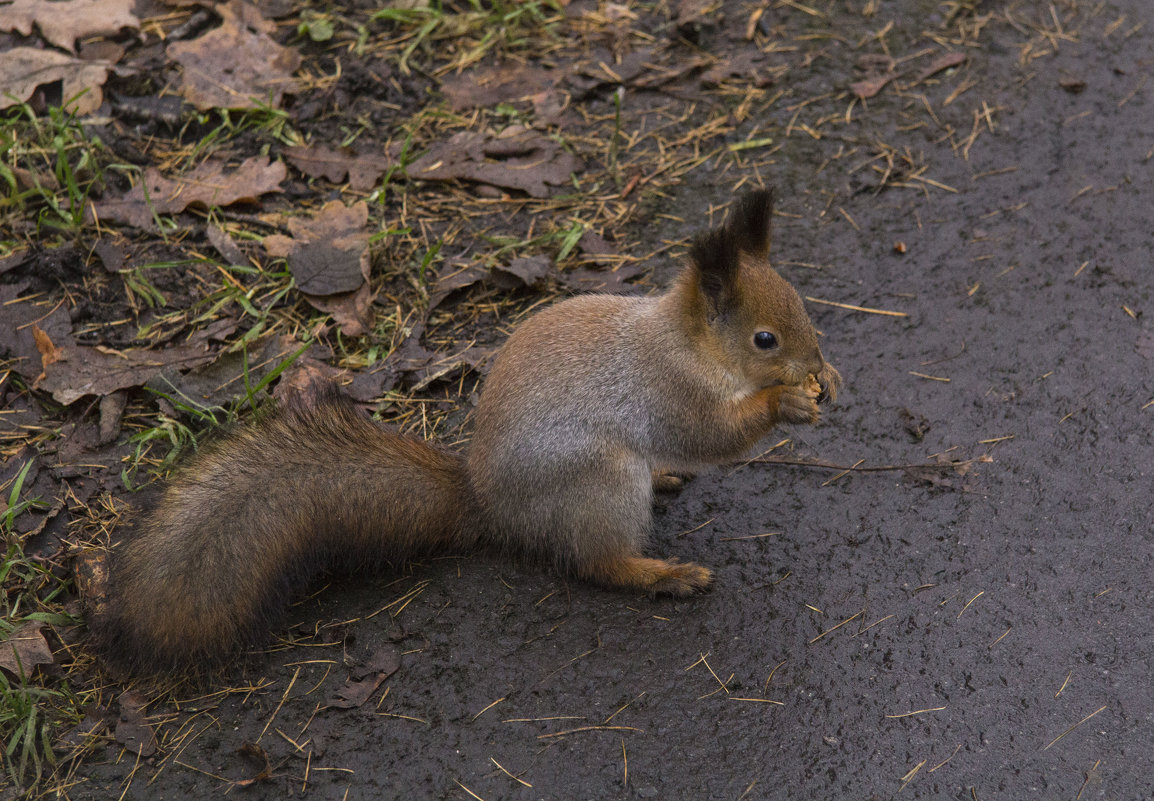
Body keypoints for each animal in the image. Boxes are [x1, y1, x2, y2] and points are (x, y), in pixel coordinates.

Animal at [90, 191, 840, 674]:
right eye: (765, 339)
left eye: (801, 306)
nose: (813, 364)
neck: (687, 344)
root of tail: (488, 505)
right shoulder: (670, 389)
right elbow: (710, 433)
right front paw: (786, 403)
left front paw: (825, 380)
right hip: (596, 481)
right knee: (596, 560)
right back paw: (662, 573)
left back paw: (666, 482)